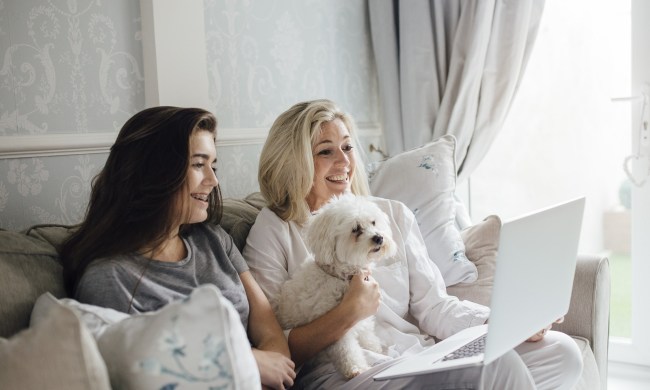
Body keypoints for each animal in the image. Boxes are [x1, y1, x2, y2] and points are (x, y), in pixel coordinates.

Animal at [274, 193, 394, 380]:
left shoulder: (361, 317)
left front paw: (374, 348)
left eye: (373, 222)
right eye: (355, 229)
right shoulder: (336, 325)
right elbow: (347, 350)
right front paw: (356, 368)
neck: (343, 277)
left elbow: (367, 334)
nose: (379, 237)